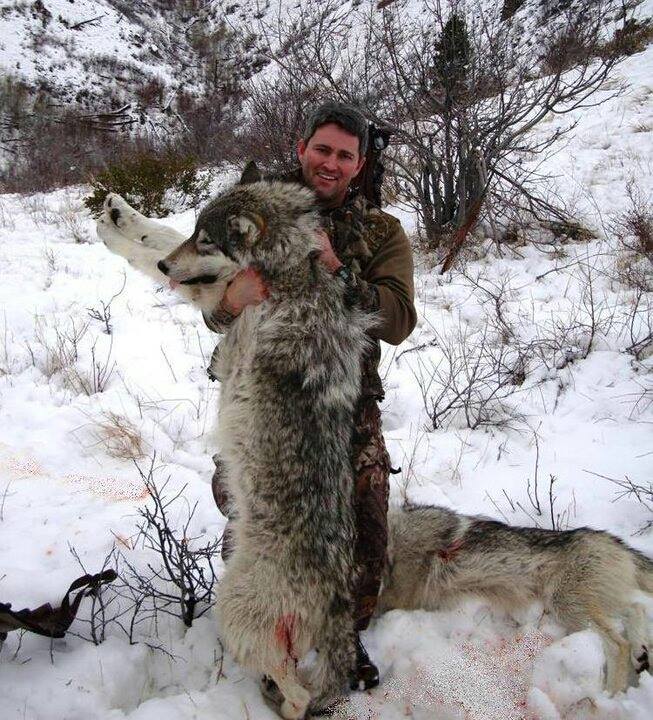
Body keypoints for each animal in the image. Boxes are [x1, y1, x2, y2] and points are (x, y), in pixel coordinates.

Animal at [98, 186, 652, 708]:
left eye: (207, 240)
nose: (172, 269)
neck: (291, 271)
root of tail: (337, 604)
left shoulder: (225, 310)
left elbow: (157, 251)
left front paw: (126, 231)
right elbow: (158, 240)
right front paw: (118, 219)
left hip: (234, 607)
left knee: (300, 693)